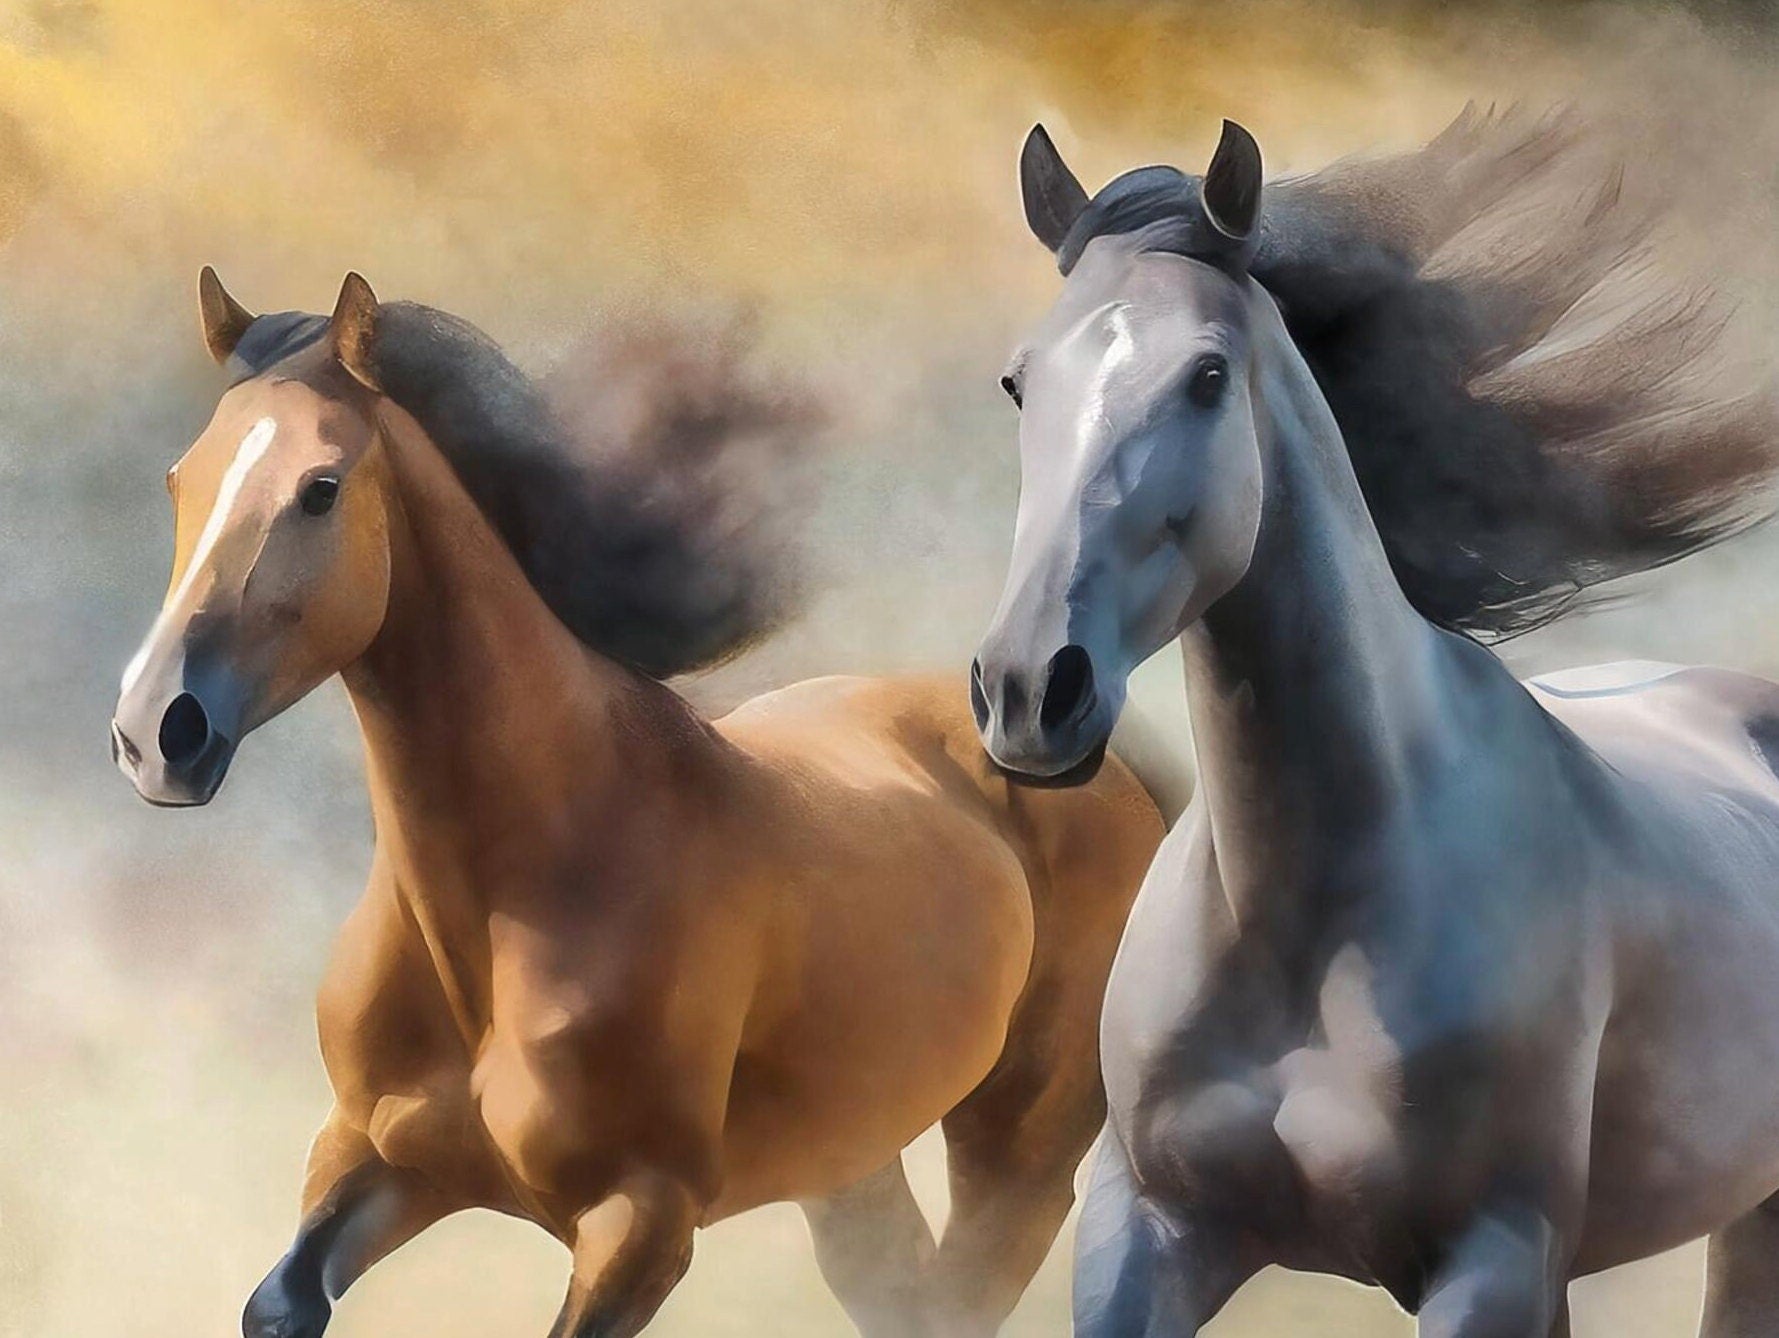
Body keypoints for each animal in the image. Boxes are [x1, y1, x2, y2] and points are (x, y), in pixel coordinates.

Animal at [109, 270, 1169, 1338]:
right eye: (178, 480)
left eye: (320, 489)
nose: (156, 730)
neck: (528, 888)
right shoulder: (377, 1161)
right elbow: (278, 1302)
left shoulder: (639, 1228)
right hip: (851, 1166)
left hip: (1018, 1149)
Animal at [970, 110, 1779, 1337]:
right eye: (1021, 383)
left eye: (1208, 376)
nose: (1027, 690)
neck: (1309, 911)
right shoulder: (1148, 1227)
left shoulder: (1492, 1257)